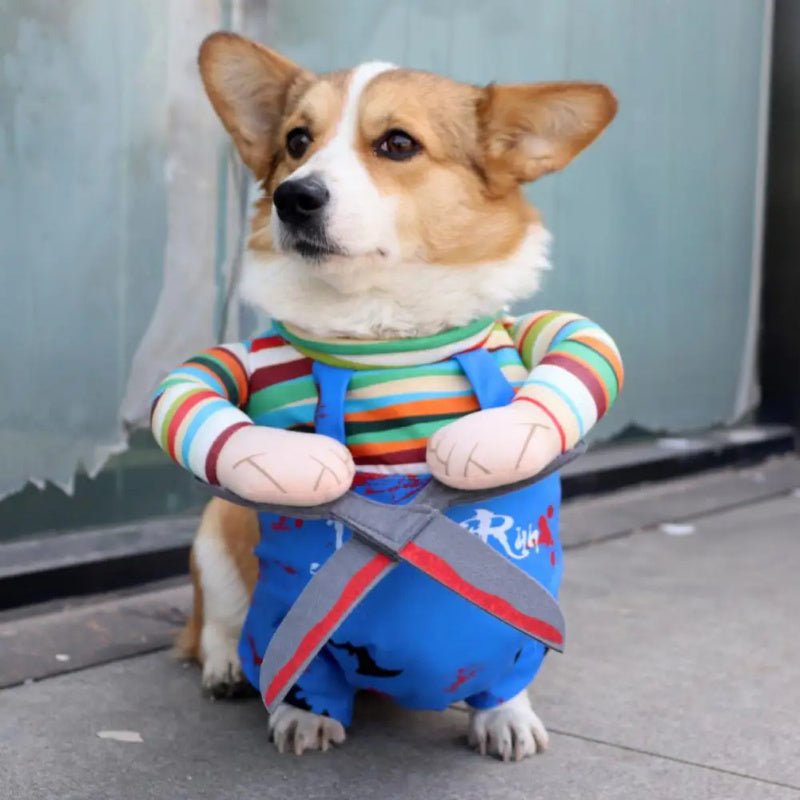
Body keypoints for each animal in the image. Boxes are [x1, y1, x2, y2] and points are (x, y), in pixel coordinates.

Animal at [155, 31, 620, 764]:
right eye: (297, 140)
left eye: (398, 144)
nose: (292, 197)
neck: (382, 330)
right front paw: (302, 712)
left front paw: (505, 713)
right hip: (216, 528)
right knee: (213, 623)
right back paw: (226, 664)